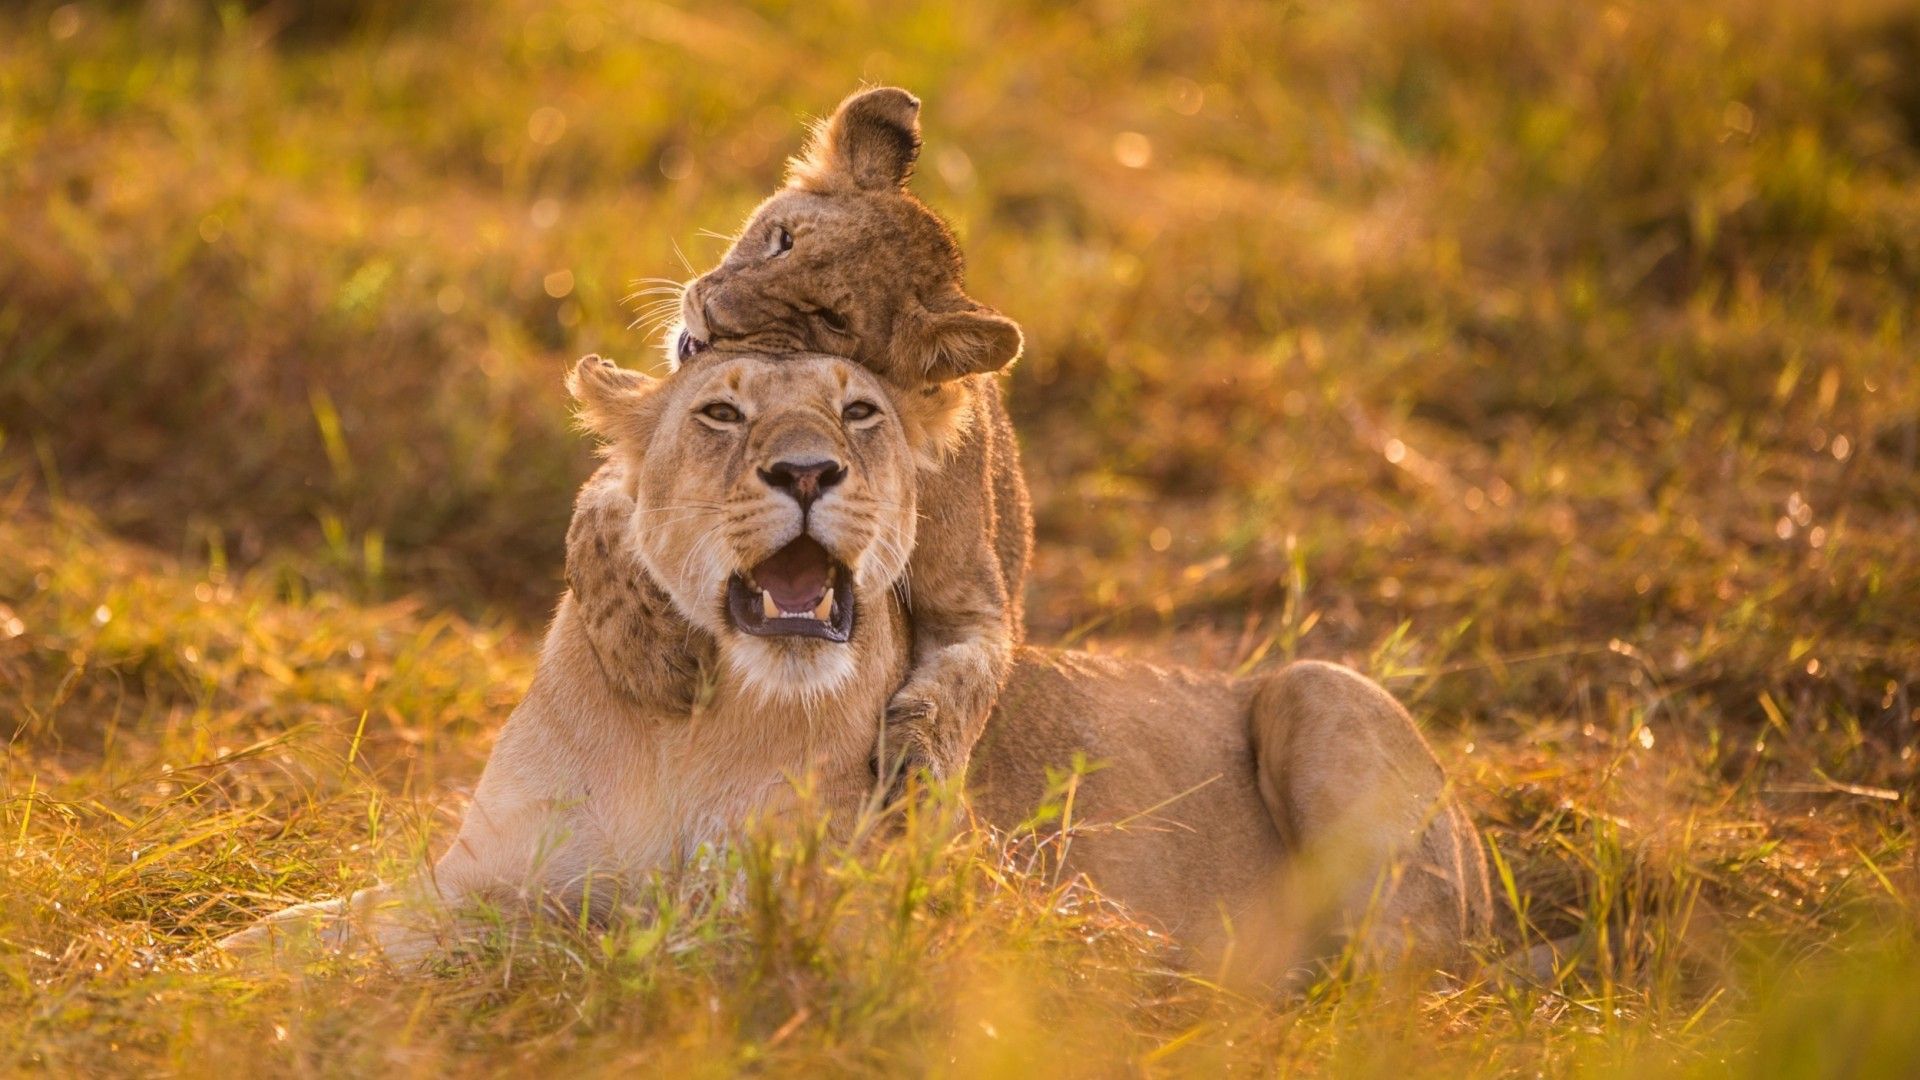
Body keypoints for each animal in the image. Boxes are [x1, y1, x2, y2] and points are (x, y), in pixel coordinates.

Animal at [220, 352, 1491, 980]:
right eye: (721, 412)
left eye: (861, 412)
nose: (806, 472)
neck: (687, 723)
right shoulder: (473, 867)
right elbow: (322, 921)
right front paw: (208, 960)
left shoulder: (778, 913)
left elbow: (558, 930)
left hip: (1321, 689)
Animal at [646, 86, 1030, 802]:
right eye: (781, 239)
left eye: (828, 319)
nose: (711, 317)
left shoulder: (977, 606)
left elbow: (961, 685)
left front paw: (915, 760)